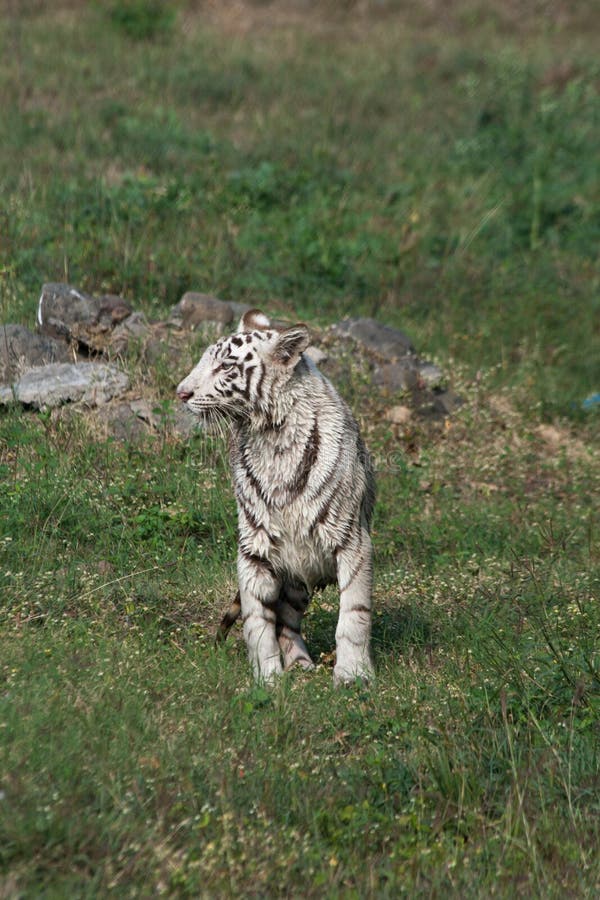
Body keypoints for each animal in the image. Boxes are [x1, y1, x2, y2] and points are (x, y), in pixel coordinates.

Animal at [176, 306, 378, 684]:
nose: (180, 393)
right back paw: (298, 665)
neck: (270, 436)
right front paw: (267, 681)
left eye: (225, 366)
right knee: (284, 619)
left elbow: (353, 613)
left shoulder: (352, 540)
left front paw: (353, 676)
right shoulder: (254, 546)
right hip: (296, 574)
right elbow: (257, 621)